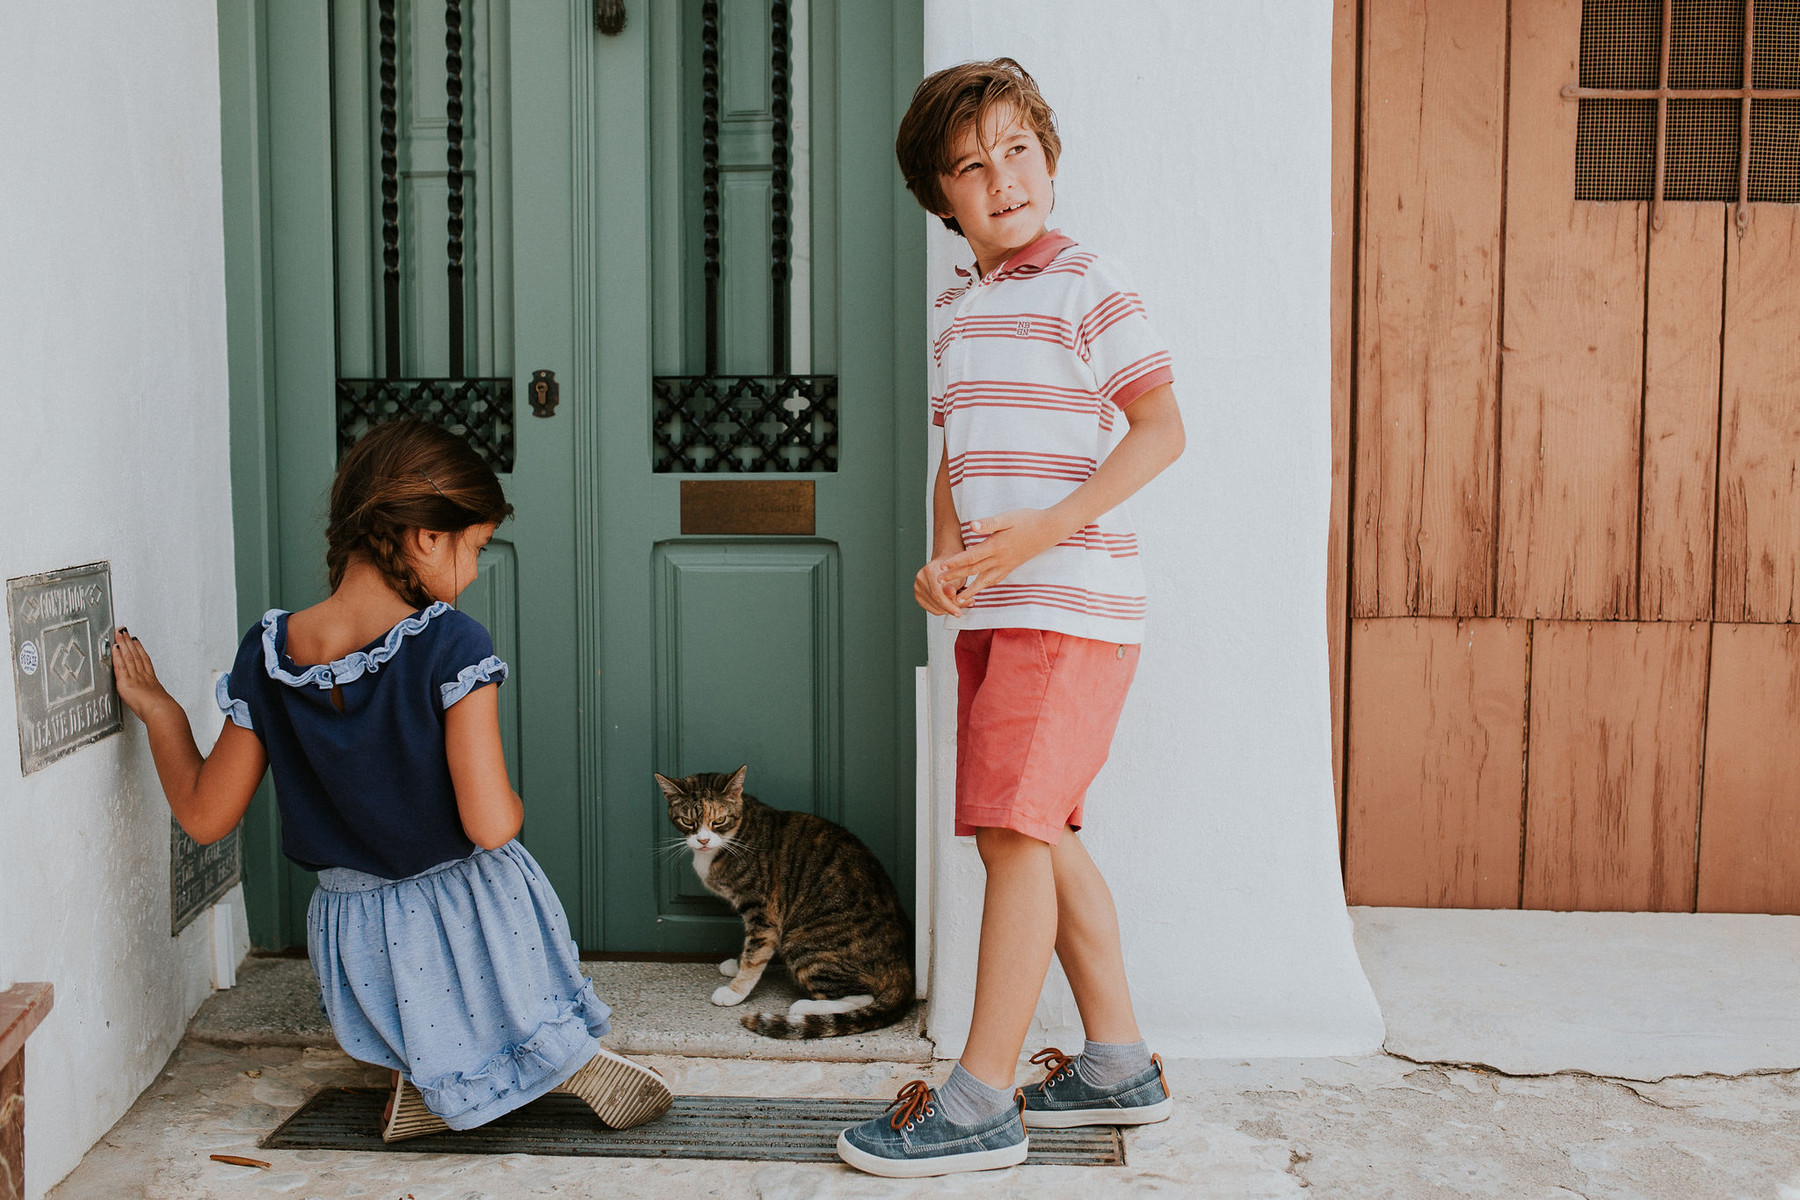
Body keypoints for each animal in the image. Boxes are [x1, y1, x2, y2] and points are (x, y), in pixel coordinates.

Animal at [655, 770, 914, 1043]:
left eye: (720, 820)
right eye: (687, 821)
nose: (703, 840)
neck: (736, 835)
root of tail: (903, 968)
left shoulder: (763, 912)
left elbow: (755, 954)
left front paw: (735, 991)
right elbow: (750, 948)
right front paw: (736, 965)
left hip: (801, 943)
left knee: (864, 995)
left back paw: (804, 1008)